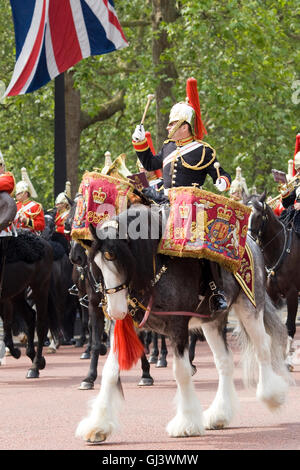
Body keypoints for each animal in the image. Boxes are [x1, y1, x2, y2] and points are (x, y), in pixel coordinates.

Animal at [248, 193, 300, 370]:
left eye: (258, 215)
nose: (249, 239)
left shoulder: (292, 294)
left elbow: (289, 326)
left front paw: (287, 360)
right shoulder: (271, 294)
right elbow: (272, 327)